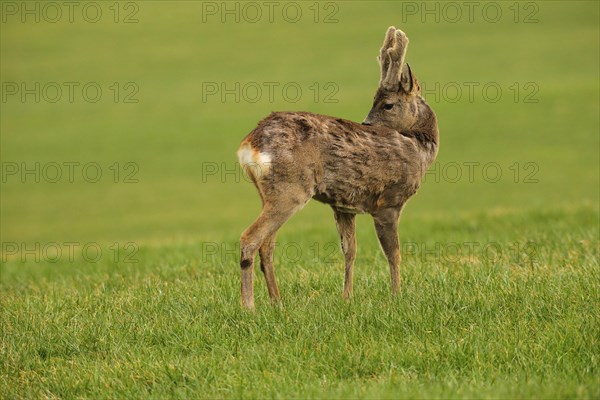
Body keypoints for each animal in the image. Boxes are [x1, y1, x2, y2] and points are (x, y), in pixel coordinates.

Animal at [237, 27, 438, 310]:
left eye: (386, 104)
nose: (366, 124)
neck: (420, 148)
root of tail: (249, 144)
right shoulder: (389, 201)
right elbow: (394, 253)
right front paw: (397, 296)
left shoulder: (343, 206)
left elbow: (350, 251)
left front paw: (347, 297)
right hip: (290, 189)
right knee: (250, 239)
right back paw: (249, 307)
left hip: (268, 193)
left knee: (267, 245)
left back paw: (277, 302)